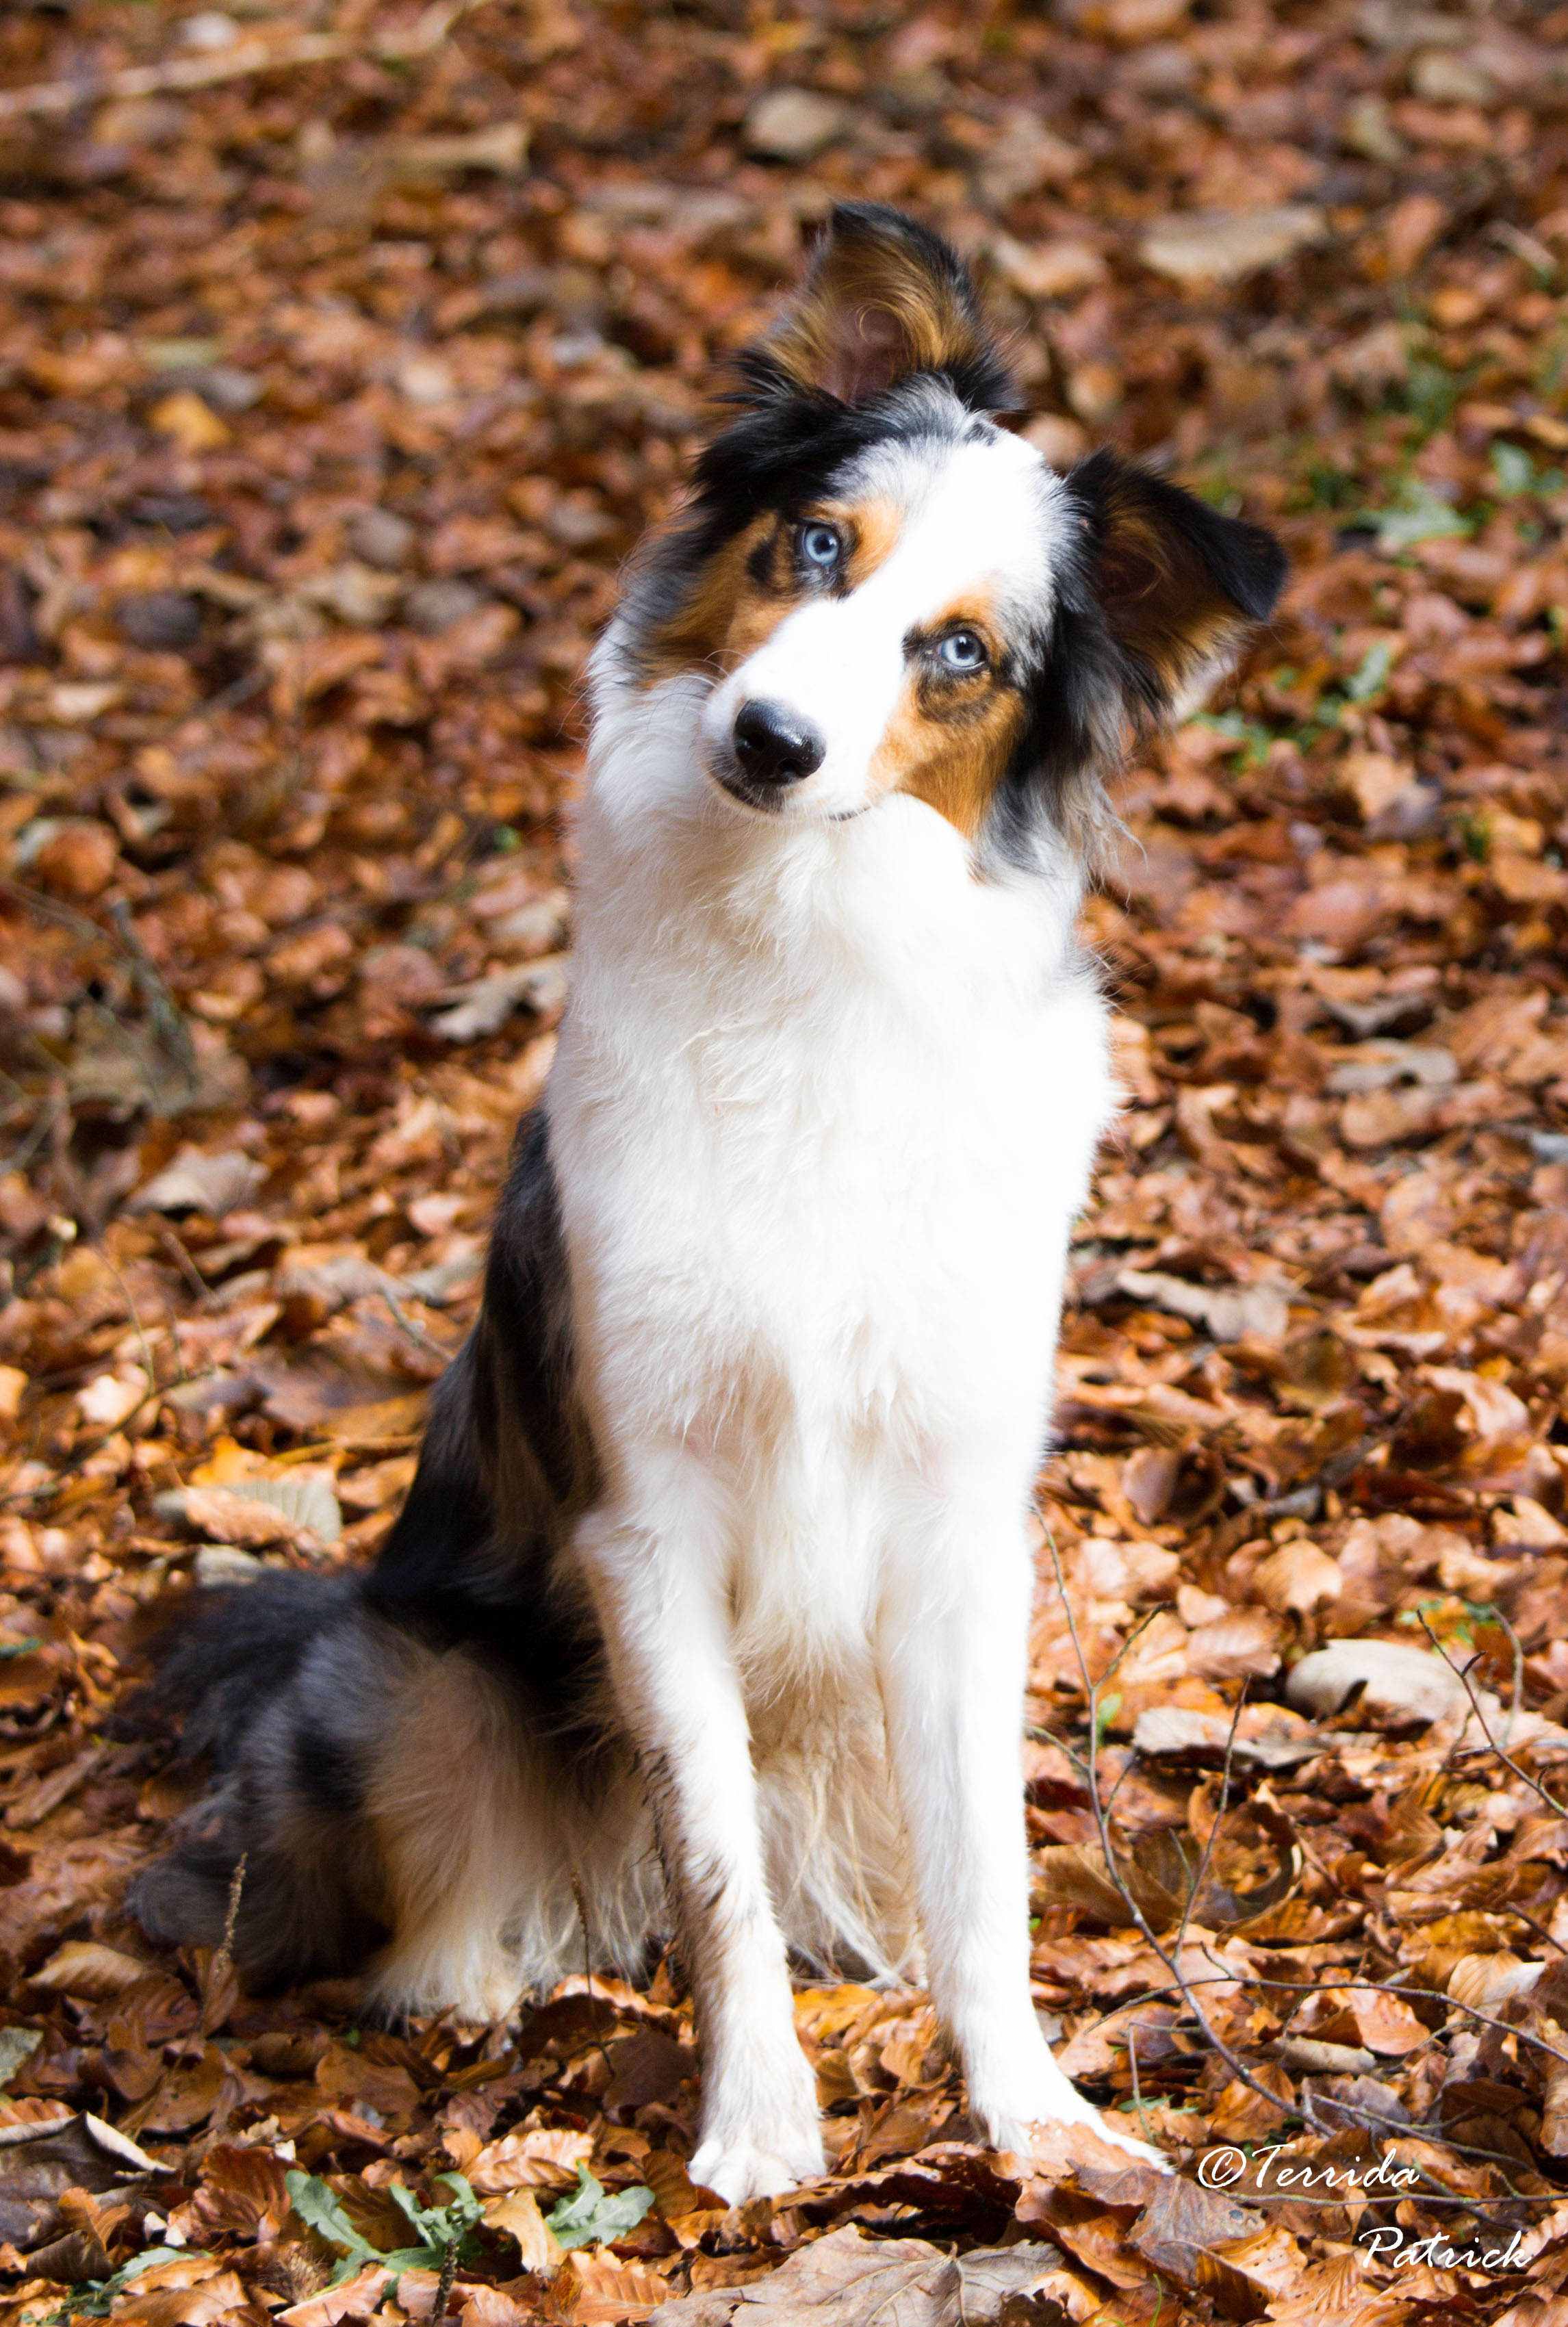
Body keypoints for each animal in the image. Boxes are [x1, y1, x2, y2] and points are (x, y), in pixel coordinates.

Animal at [137, 200, 1284, 2196]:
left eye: (957, 652)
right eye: (813, 545)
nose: (767, 740)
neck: (809, 957)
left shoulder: (958, 1519)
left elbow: (983, 1869)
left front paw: (1028, 2108)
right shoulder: (642, 1513)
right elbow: (715, 1858)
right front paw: (757, 2121)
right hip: (420, 1663)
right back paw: (473, 1983)